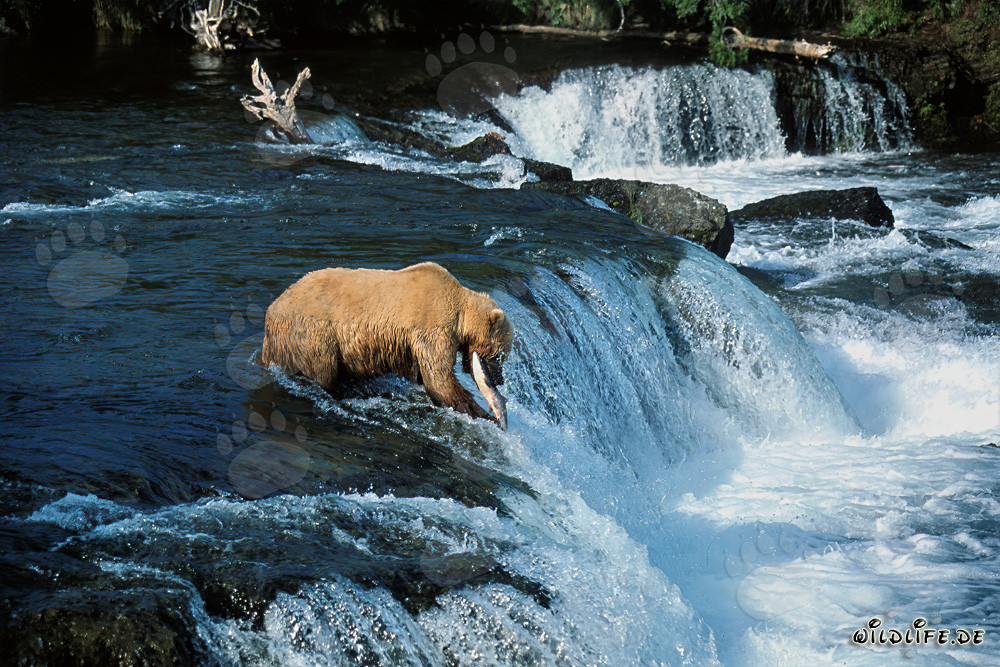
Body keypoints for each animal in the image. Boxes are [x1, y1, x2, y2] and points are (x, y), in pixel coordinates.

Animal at [260, 262, 513, 428]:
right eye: (500, 355)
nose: (500, 379)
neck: (461, 314)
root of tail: (271, 312)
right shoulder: (433, 326)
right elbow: (440, 379)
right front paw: (486, 415)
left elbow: (426, 376)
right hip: (313, 333)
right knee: (323, 372)